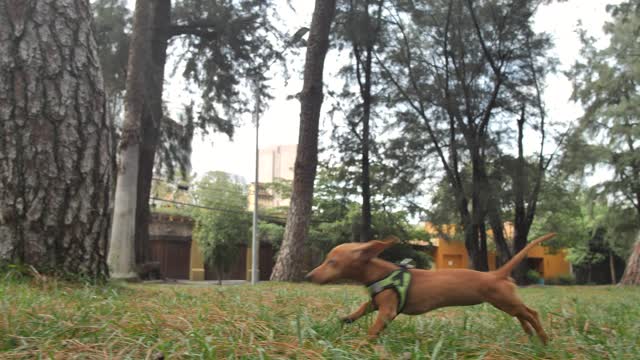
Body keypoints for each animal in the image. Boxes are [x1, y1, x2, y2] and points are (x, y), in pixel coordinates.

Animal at [304, 233, 556, 344]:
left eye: (332, 262)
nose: (308, 276)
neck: (382, 273)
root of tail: (496, 273)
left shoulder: (387, 310)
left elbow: (373, 329)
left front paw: (362, 344)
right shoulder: (377, 302)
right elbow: (362, 308)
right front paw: (347, 319)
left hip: (503, 300)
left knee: (531, 313)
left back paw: (543, 338)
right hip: (505, 302)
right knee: (522, 315)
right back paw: (530, 334)